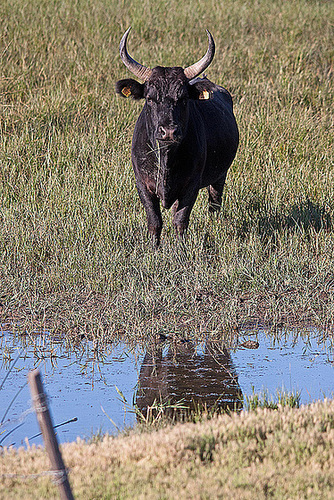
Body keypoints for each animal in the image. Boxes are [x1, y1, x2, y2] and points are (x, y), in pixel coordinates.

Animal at [116, 28, 239, 245]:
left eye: (182, 98)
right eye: (150, 98)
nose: (169, 131)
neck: (166, 158)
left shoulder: (191, 185)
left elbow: (180, 220)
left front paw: (181, 248)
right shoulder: (142, 184)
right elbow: (154, 221)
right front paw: (154, 248)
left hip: (220, 175)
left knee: (215, 202)